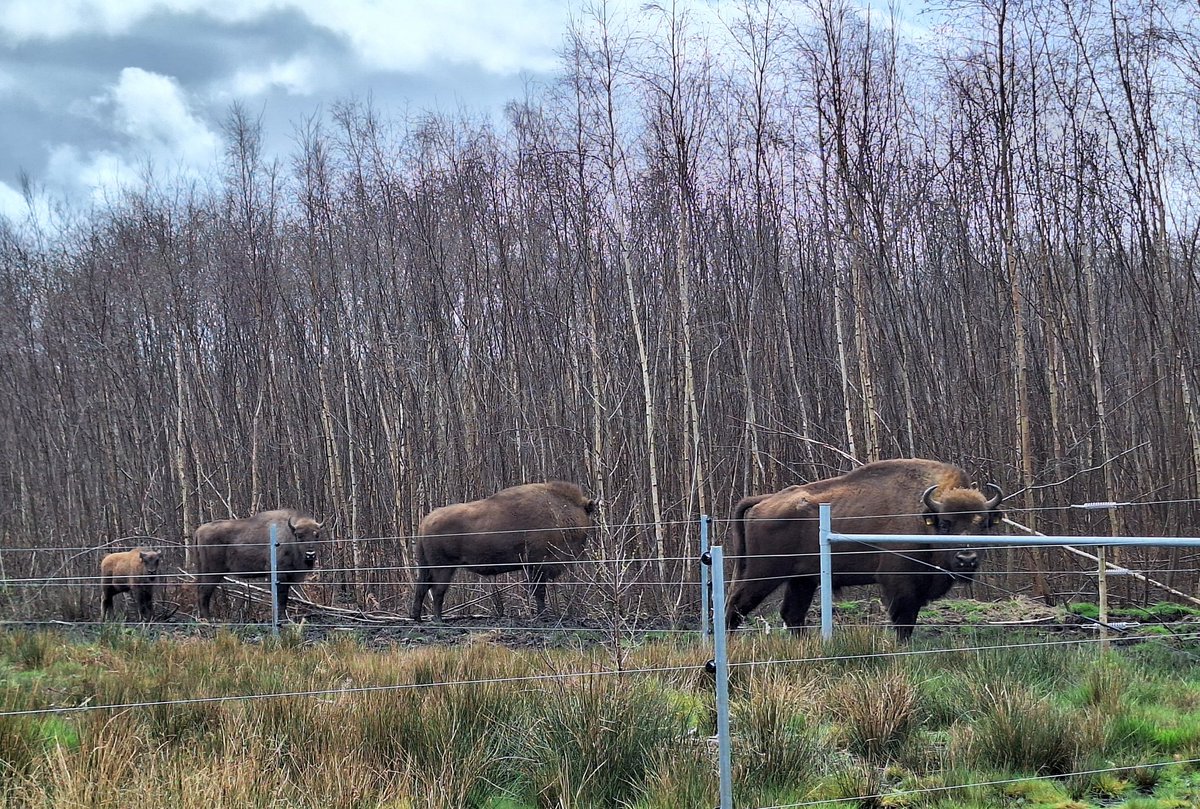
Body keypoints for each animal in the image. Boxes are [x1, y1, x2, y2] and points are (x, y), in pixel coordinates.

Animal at [412, 482, 600, 619]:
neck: (560, 512)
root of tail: (426, 521)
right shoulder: (538, 566)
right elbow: (539, 592)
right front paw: (542, 614)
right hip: (443, 568)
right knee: (437, 590)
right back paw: (438, 619)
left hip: (428, 566)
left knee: (422, 587)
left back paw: (417, 618)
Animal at [720, 460, 1003, 638]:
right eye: (945, 523)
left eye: (982, 524)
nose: (966, 558)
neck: (923, 518)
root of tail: (765, 501)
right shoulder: (899, 584)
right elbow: (903, 621)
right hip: (763, 573)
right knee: (735, 606)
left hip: (803, 579)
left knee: (792, 614)